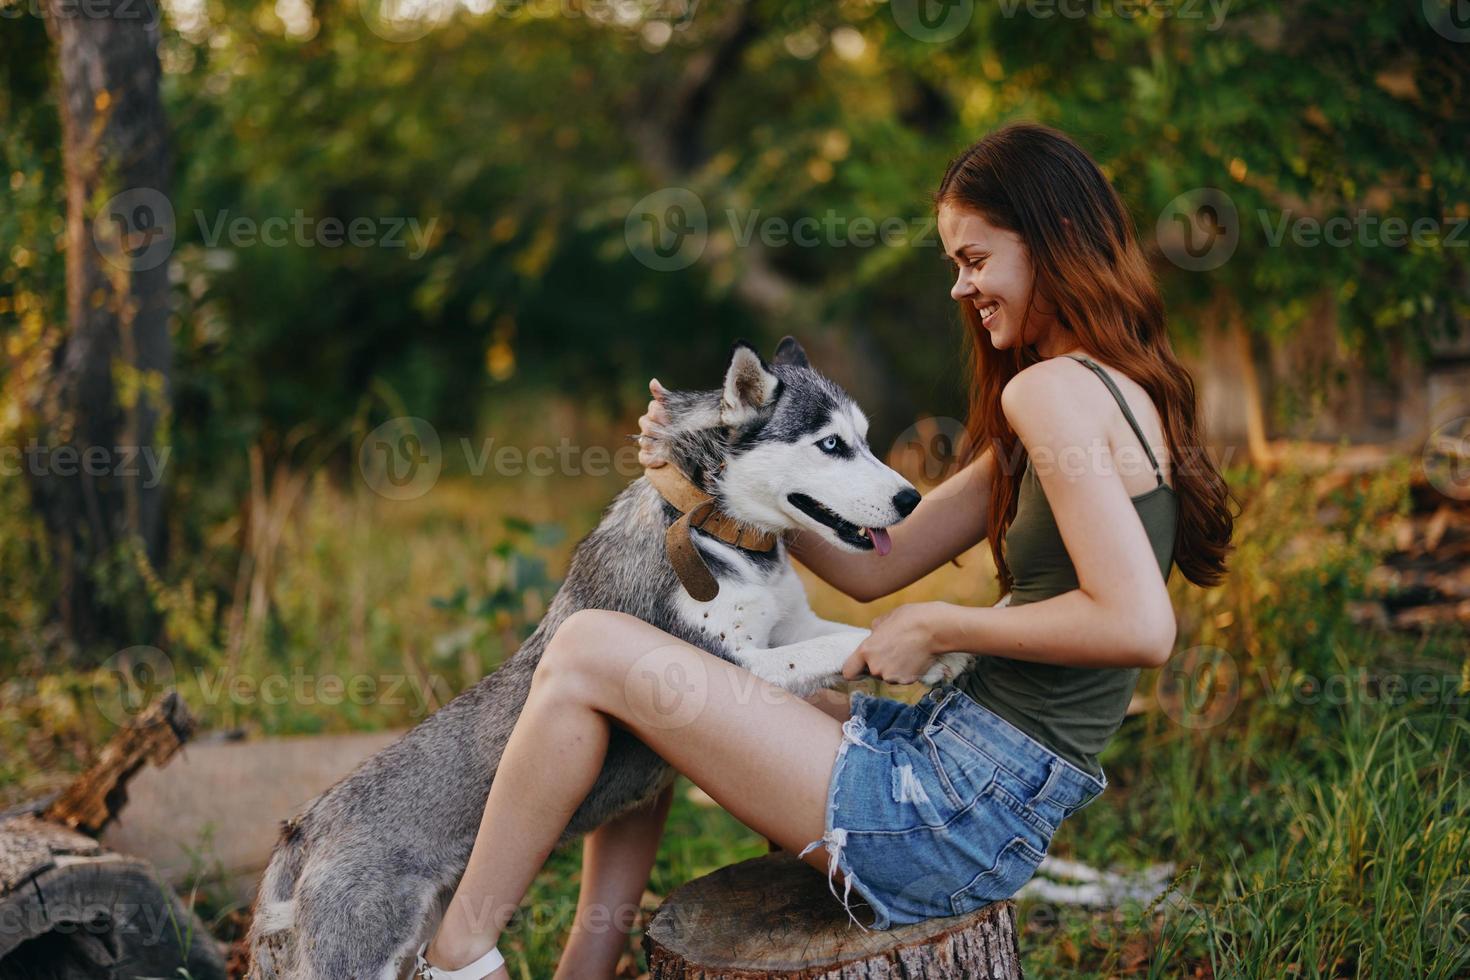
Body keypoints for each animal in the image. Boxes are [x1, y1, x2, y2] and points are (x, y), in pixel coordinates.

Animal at [246, 339, 970, 980]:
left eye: (865, 439)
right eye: (830, 445)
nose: (911, 499)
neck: (718, 531)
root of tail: (305, 824)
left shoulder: (793, 625)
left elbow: (853, 629)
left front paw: (936, 648)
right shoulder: (729, 666)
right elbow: (841, 642)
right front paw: (936, 647)